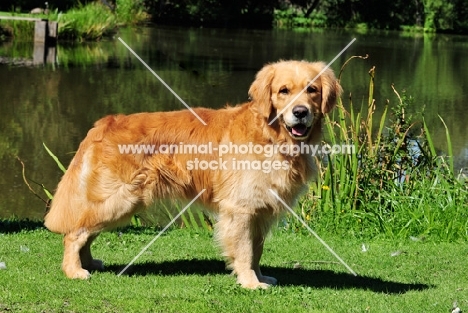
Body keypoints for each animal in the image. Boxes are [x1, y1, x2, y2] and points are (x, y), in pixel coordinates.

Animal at [44, 59, 340, 288]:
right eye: (283, 91)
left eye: (312, 90)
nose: (300, 112)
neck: (271, 137)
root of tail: (103, 123)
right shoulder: (241, 208)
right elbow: (245, 251)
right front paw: (250, 282)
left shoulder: (259, 211)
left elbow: (256, 250)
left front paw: (260, 277)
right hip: (119, 199)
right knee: (74, 233)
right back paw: (74, 271)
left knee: (85, 232)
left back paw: (89, 263)